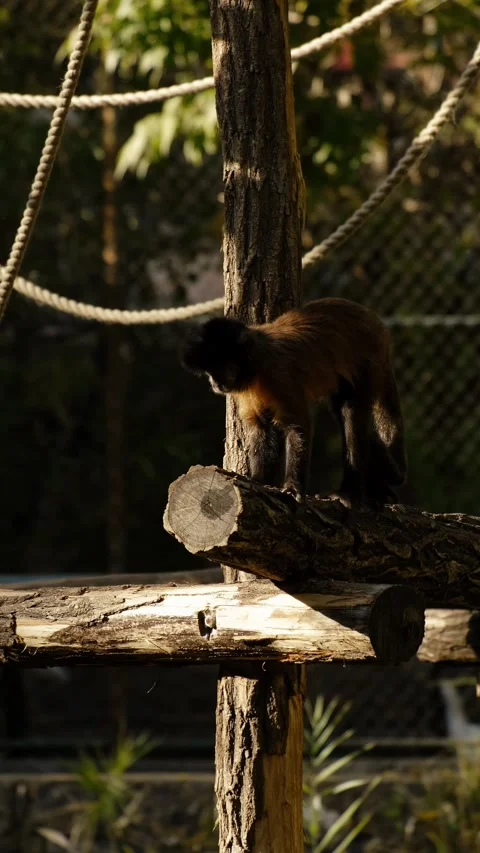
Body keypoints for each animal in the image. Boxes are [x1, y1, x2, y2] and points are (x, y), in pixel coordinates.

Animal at [181, 298, 407, 508]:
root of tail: (374, 322)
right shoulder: (245, 389)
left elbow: (298, 426)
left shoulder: (278, 372)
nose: (215, 383)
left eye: (222, 368)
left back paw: (351, 491)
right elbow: (261, 430)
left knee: (351, 413)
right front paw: (257, 481)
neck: (258, 363)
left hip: (368, 360)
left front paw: (291, 488)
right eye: (209, 373)